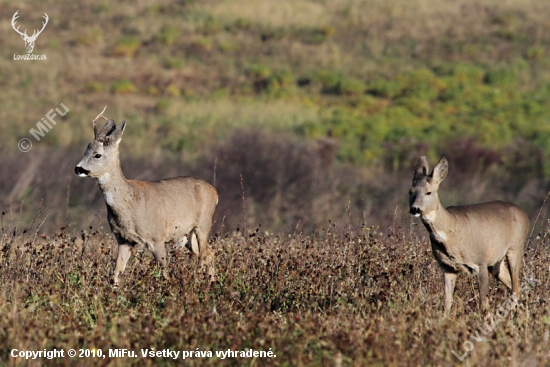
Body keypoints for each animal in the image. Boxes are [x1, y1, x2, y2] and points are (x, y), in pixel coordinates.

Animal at [75, 108, 218, 286]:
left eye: (97, 155)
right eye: (85, 151)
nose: (78, 168)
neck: (130, 203)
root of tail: (215, 192)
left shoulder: (157, 237)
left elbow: (164, 272)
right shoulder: (124, 239)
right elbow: (116, 273)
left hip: (203, 223)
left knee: (204, 255)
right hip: (187, 235)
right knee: (209, 253)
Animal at [410, 156, 532, 316]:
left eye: (428, 192)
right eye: (410, 191)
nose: (415, 209)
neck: (451, 228)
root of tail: (525, 215)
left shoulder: (481, 261)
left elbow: (483, 303)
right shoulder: (448, 267)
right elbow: (447, 302)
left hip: (515, 247)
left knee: (516, 288)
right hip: (496, 262)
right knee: (513, 285)